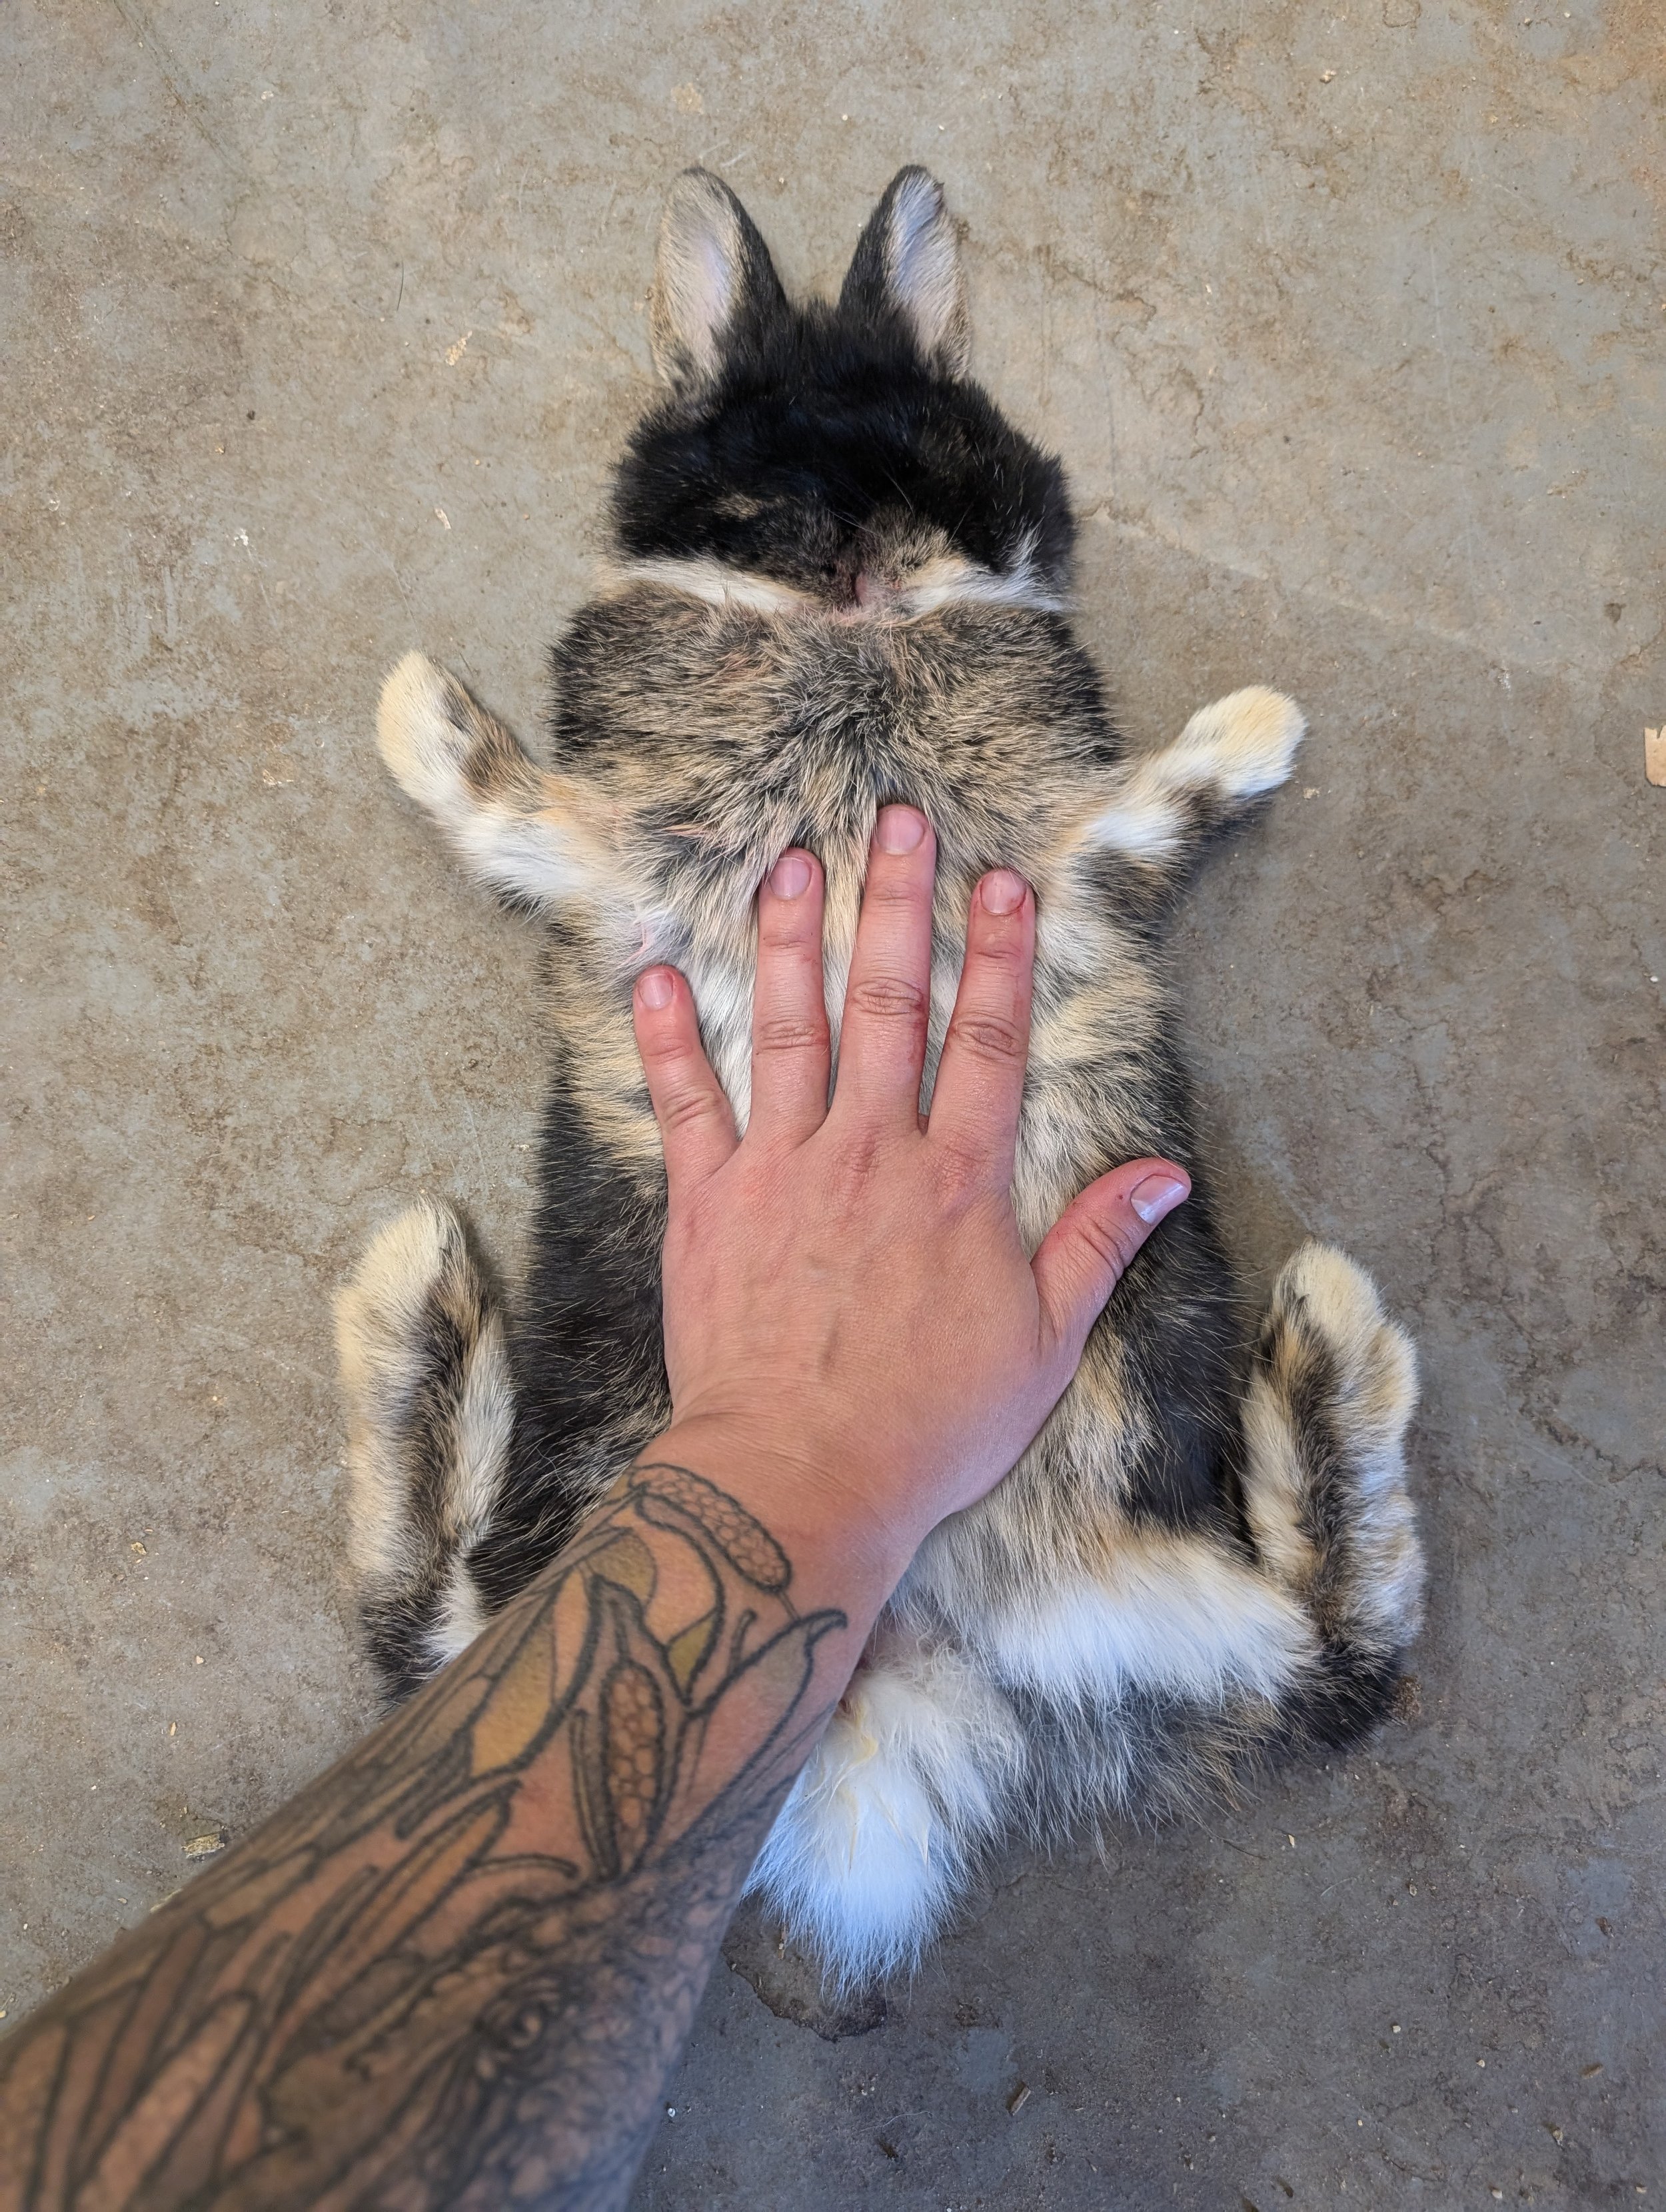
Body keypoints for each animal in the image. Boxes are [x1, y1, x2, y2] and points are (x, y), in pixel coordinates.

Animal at [335, 166, 1424, 1991]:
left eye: (955, 426)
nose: (998, 521)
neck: (845, 594)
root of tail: (886, 1691)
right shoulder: (607, 856)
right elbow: (493, 794)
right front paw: (413, 701)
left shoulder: (1073, 848)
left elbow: (1164, 797)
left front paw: (1259, 724)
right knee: (417, 1620)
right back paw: (411, 1293)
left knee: (1334, 1648)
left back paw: (1335, 1330)